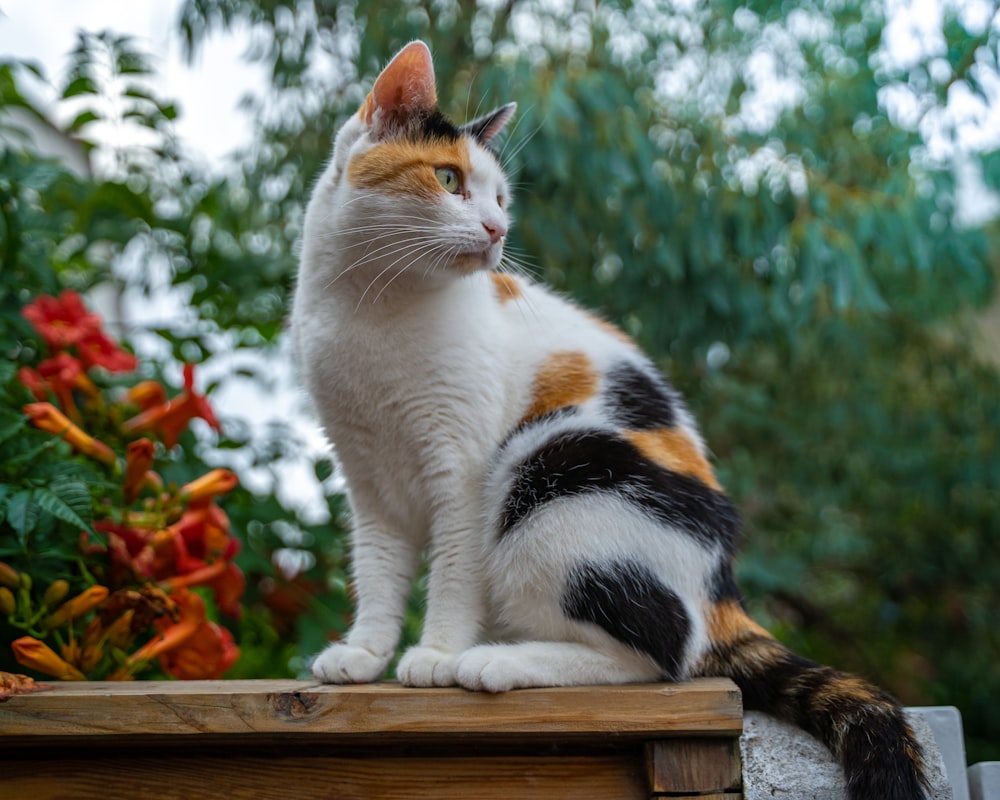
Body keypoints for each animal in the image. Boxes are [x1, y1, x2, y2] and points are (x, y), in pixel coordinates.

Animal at [290, 42, 928, 800]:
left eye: (499, 198)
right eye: (448, 179)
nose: (498, 231)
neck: (372, 308)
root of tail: (722, 587)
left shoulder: (465, 469)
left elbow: (452, 571)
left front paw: (437, 652)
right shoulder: (367, 477)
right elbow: (380, 571)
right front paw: (364, 652)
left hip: (552, 467)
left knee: (664, 653)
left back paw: (496, 662)